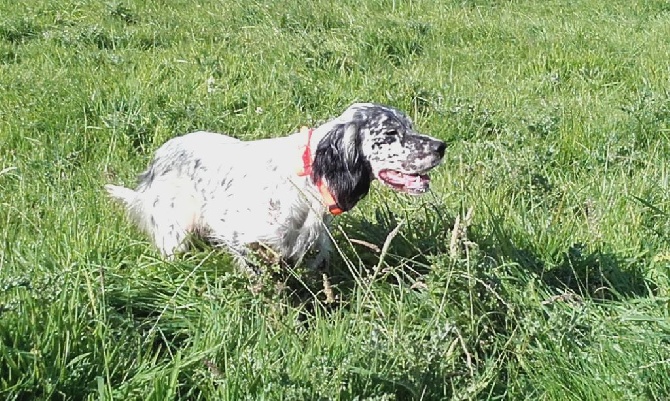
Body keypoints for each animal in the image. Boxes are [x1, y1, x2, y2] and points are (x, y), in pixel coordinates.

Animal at [106, 102, 446, 272]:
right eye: (390, 133)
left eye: (410, 126)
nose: (442, 146)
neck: (307, 178)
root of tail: (157, 159)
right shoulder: (241, 237)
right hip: (174, 232)